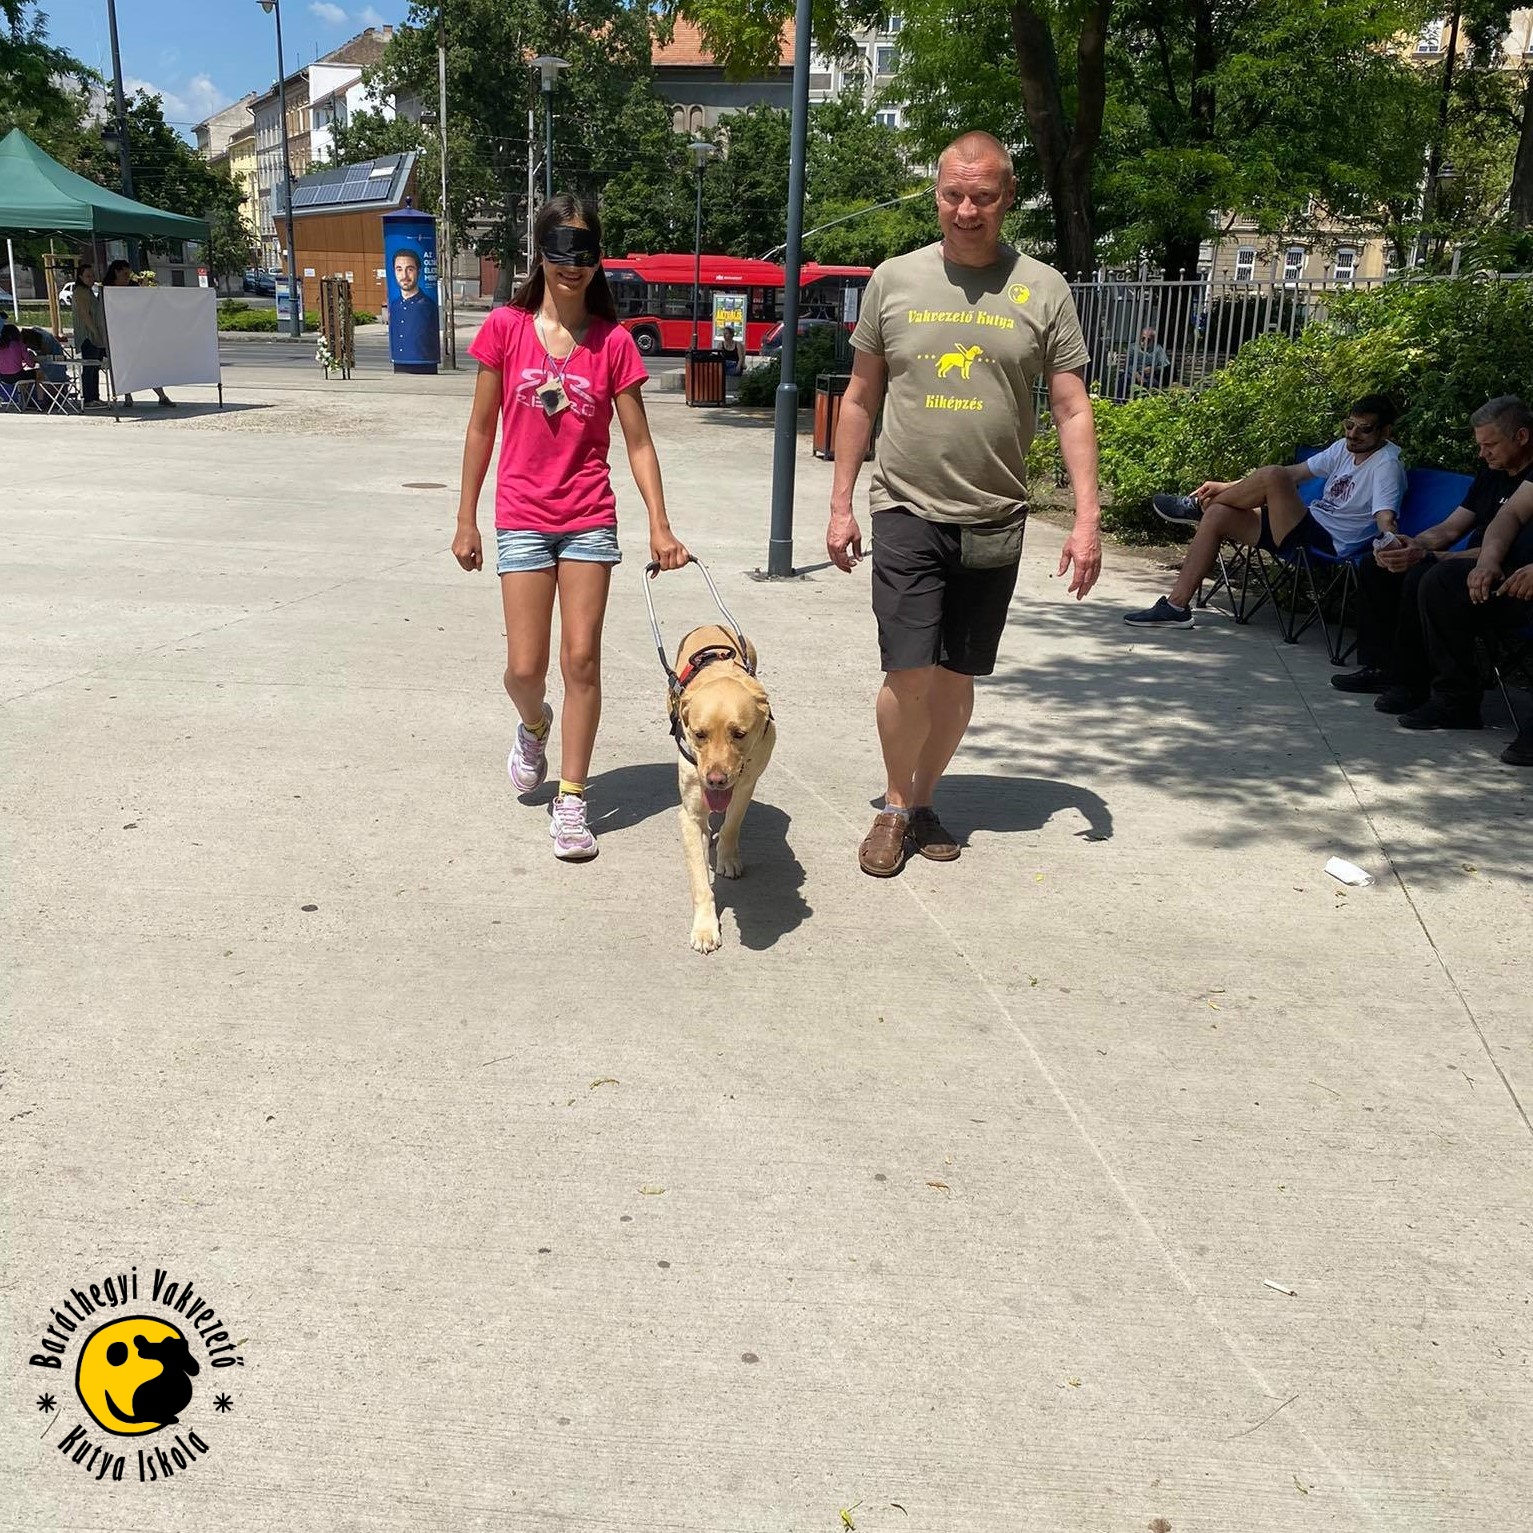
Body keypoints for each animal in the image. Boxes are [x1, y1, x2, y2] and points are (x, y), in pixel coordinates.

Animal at [670, 623, 776, 954]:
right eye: (699, 734)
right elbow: (700, 882)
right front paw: (705, 929)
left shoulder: (746, 785)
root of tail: (710, 625)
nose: (715, 780)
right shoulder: (690, 816)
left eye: (739, 734)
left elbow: (731, 824)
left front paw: (727, 859)